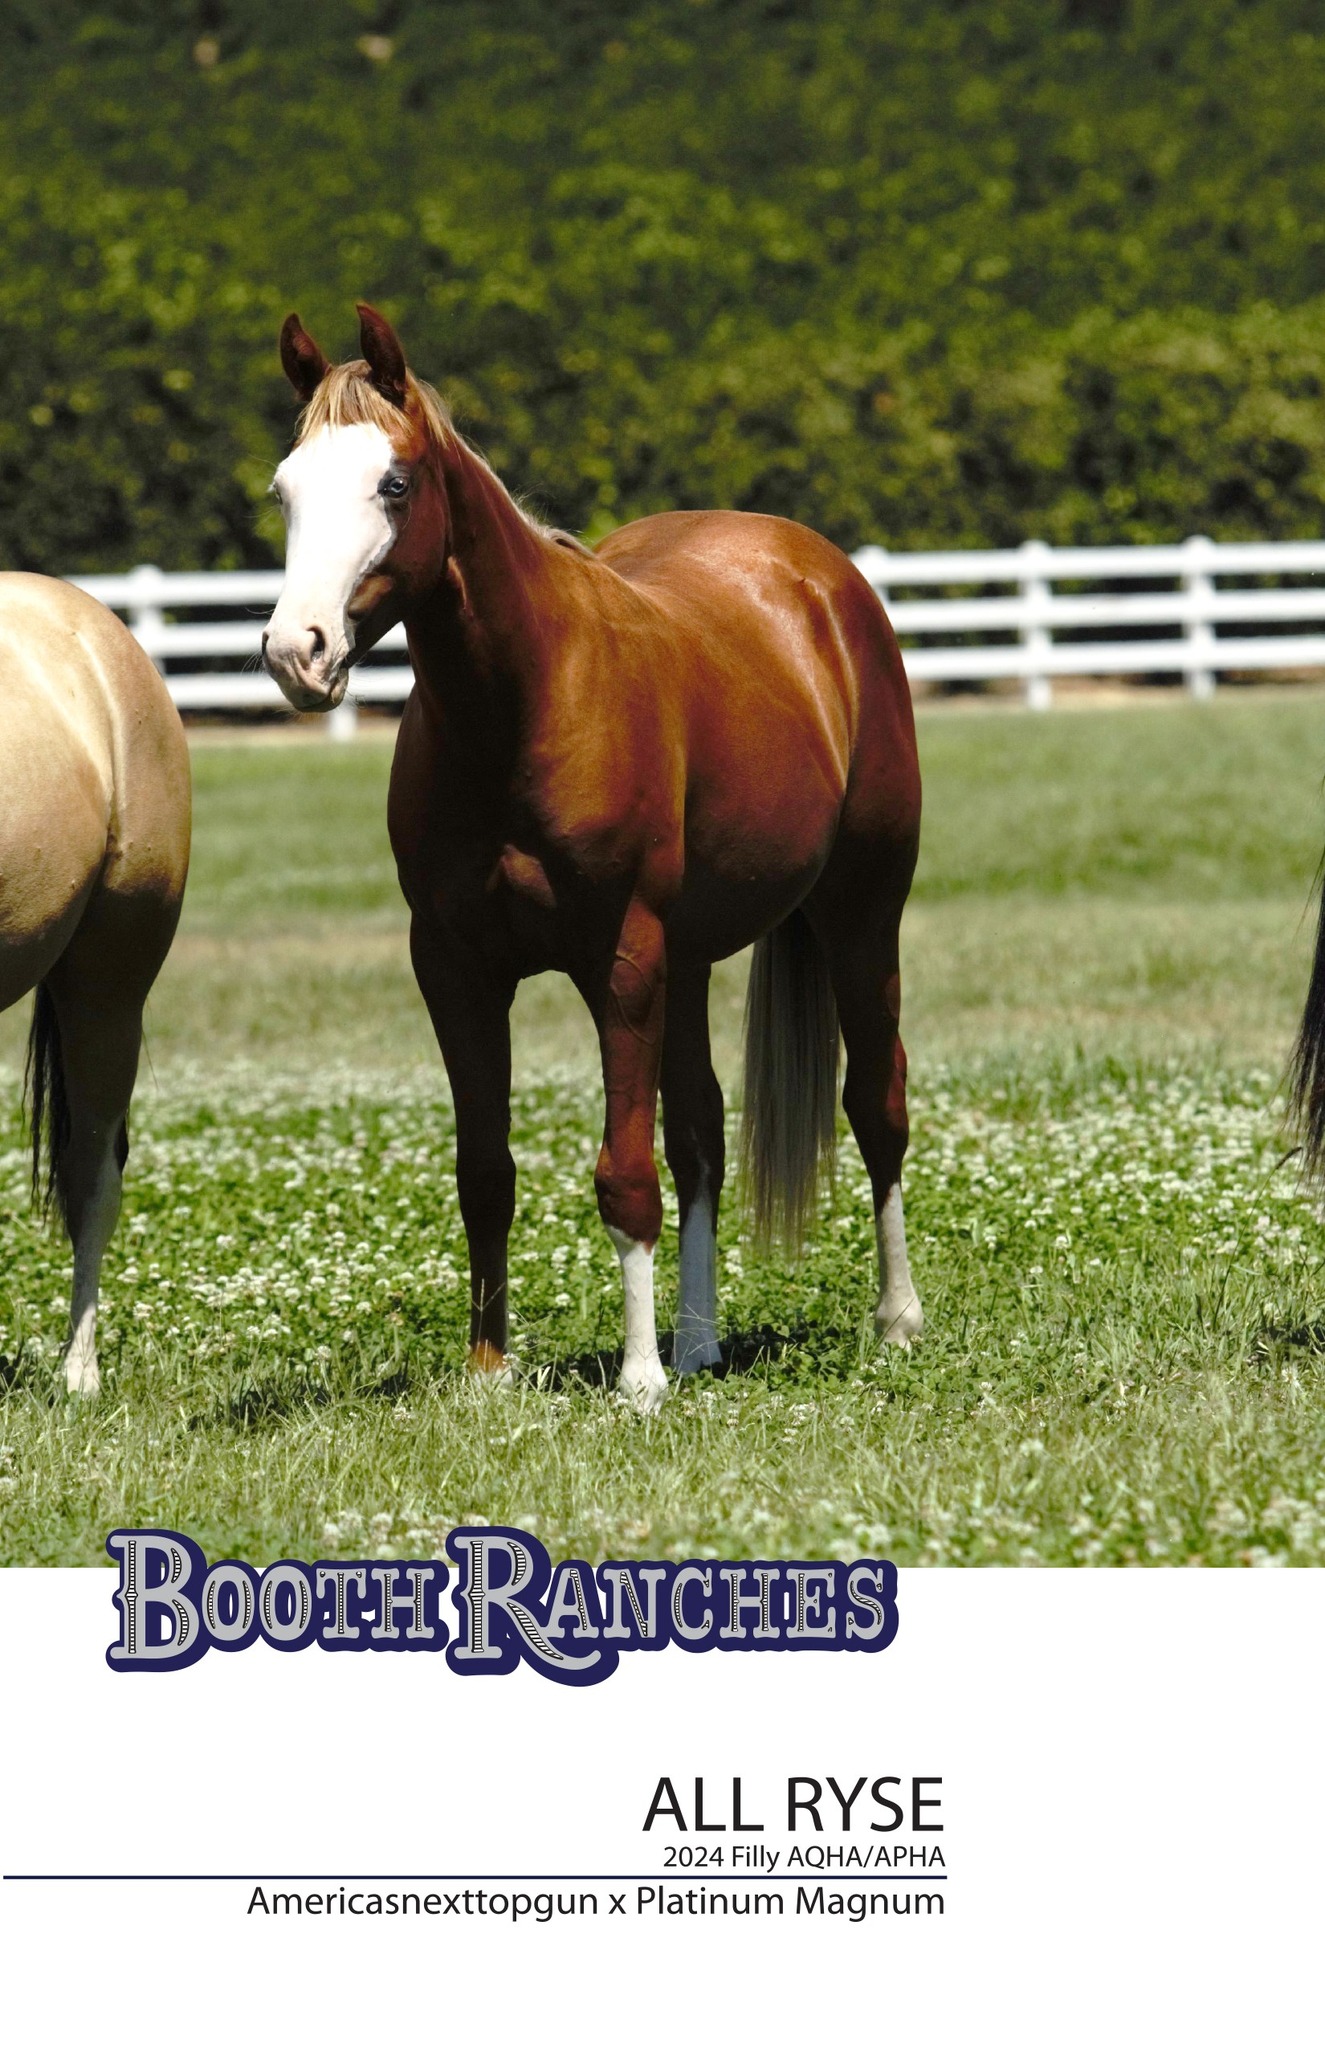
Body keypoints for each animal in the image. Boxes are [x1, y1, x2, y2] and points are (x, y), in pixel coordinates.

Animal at [263, 305, 923, 1412]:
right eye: (284, 488)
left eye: (394, 484)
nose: (295, 653)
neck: (525, 703)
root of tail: (819, 575)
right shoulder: (455, 968)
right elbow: (486, 1171)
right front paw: (489, 1371)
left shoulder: (619, 962)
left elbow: (623, 1172)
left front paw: (639, 1378)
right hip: (692, 961)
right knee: (700, 1134)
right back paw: (700, 1341)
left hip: (859, 916)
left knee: (875, 1105)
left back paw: (893, 1319)